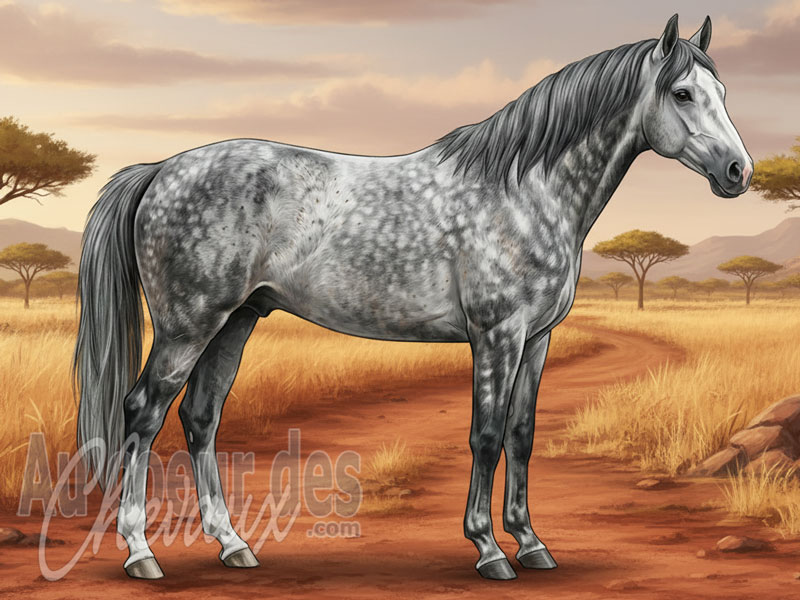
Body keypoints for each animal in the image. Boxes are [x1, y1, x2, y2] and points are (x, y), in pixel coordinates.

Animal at [73, 14, 752, 581]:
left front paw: (532, 543)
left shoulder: (536, 338)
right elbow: (486, 435)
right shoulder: (497, 335)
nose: (739, 173)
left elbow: (522, 434)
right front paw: (488, 549)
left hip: (235, 321)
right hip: (188, 326)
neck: (525, 190)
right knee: (144, 413)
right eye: (682, 93)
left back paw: (233, 545)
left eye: (723, 93)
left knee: (200, 418)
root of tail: (161, 170)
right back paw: (140, 553)